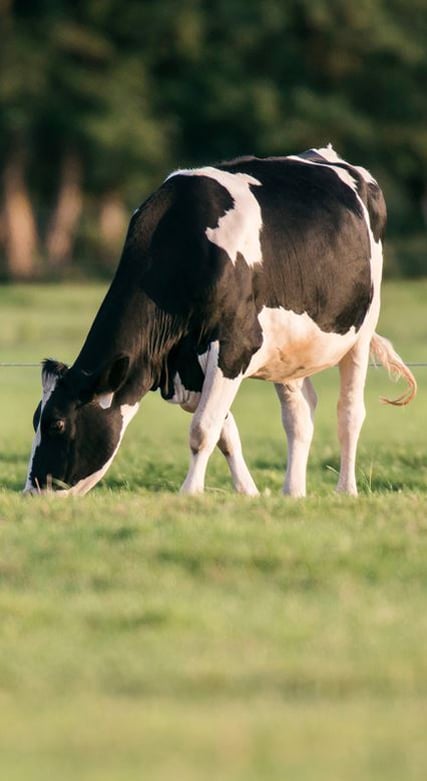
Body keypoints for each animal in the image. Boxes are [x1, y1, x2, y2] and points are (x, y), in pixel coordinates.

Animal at [24, 145, 416, 497]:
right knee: (299, 417)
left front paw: (190, 494)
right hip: (287, 352)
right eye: (34, 419)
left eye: (57, 423)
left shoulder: (234, 345)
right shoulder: (188, 364)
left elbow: (202, 429)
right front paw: (248, 493)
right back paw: (293, 493)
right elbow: (225, 433)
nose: (32, 492)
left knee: (349, 413)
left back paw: (345, 491)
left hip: (361, 330)